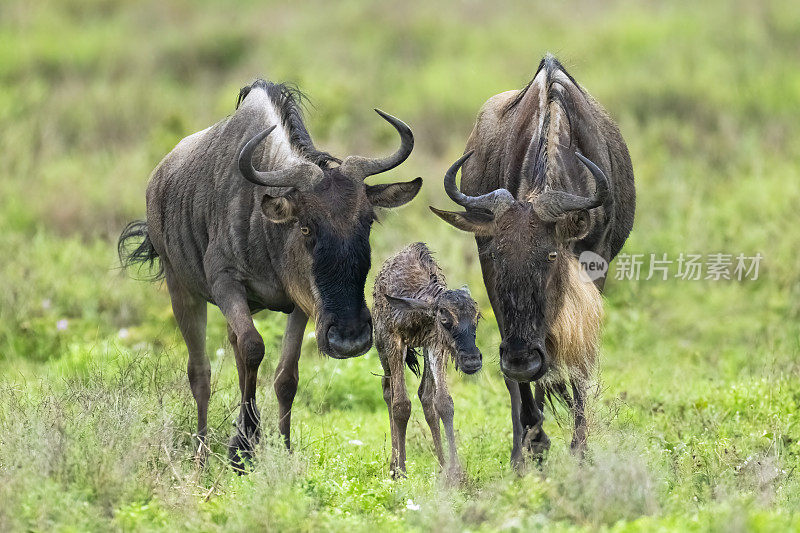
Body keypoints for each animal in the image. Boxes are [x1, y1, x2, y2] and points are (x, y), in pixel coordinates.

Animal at [370, 241, 478, 478]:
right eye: (444, 318)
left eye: (477, 317)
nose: (472, 360)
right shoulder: (394, 339)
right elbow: (401, 404)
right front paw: (401, 471)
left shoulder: (435, 343)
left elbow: (444, 402)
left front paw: (455, 471)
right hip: (381, 346)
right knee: (387, 391)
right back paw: (393, 464)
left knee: (426, 396)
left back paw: (441, 463)